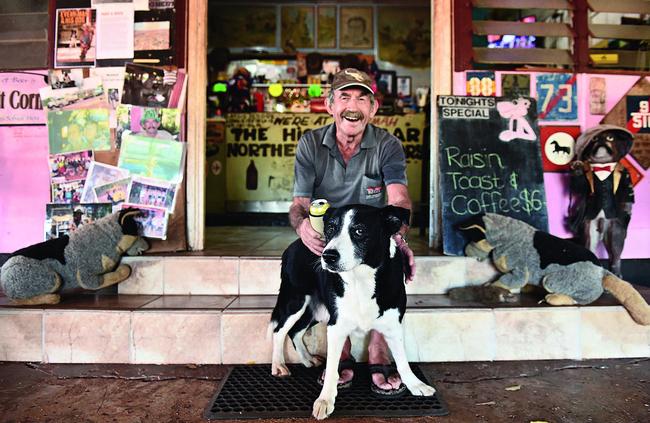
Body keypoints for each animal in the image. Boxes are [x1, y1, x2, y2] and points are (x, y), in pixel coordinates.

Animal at [266, 205, 432, 420]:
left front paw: (416, 384)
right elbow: (331, 368)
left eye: (359, 231)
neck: (361, 278)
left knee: (296, 331)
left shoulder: (393, 325)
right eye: (330, 229)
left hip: (317, 310)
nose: (327, 256)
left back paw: (307, 359)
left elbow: (403, 360)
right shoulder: (336, 326)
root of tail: (293, 245)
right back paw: (278, 365)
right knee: (279, 331)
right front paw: (325, 400)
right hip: (296, 300)